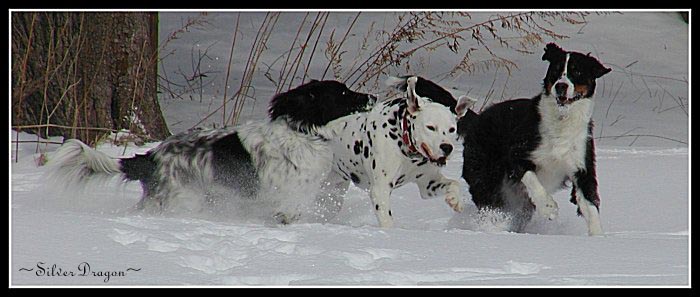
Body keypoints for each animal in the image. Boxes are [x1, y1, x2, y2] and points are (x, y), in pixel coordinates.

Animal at [47, 79, 378, 222]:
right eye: (343, 92)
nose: (373, 96)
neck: (301, 132)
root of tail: (152, 157)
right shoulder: (285, 198)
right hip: (183, 200)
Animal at [318, 76, 474, 227]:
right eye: (430, 127)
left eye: (452, 129)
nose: (447, 147)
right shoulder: (381, 190)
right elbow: (387, 222)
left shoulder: (428, 183)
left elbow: (454, 183)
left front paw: (455, 199)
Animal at [456, 42, 608, 235]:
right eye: (556, 70)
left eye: (578, 71)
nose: (561, 86)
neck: (561, 120)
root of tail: (477, 119)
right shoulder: (517, 154)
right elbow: (531, 178)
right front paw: (549, 208)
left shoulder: (582, 169)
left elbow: (590, 205)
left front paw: (598, 236)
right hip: (486, 180)